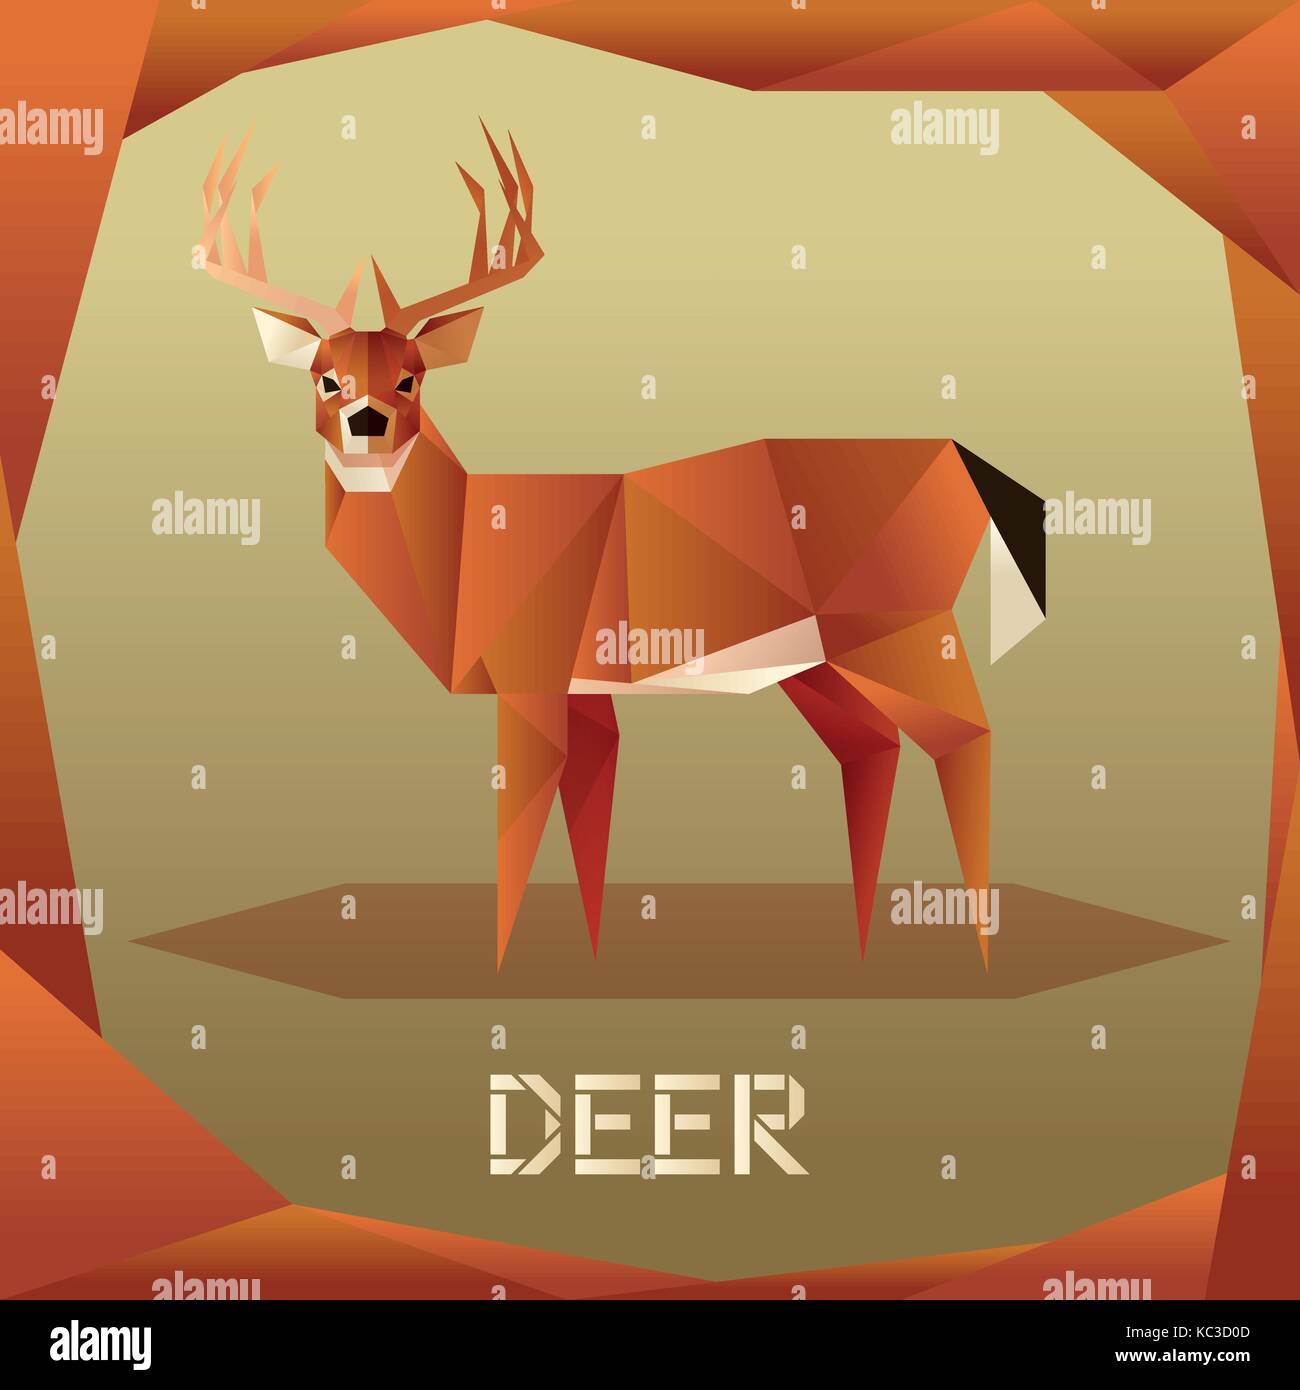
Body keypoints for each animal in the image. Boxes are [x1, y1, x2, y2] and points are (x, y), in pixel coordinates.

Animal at [197, 127, 1047, 969]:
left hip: (911, 624)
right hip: (824, 666)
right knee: (875, 749)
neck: (471, 553)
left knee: (967, 736)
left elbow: (519, 833)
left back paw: (980, 951)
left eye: (412, 378)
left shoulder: (531, 681)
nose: (366, 422)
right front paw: (592, 956)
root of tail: (960, 456)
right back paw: (866, 946)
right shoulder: (587, 693)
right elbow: (590, 815)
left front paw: (497, 969)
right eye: (324, 376)